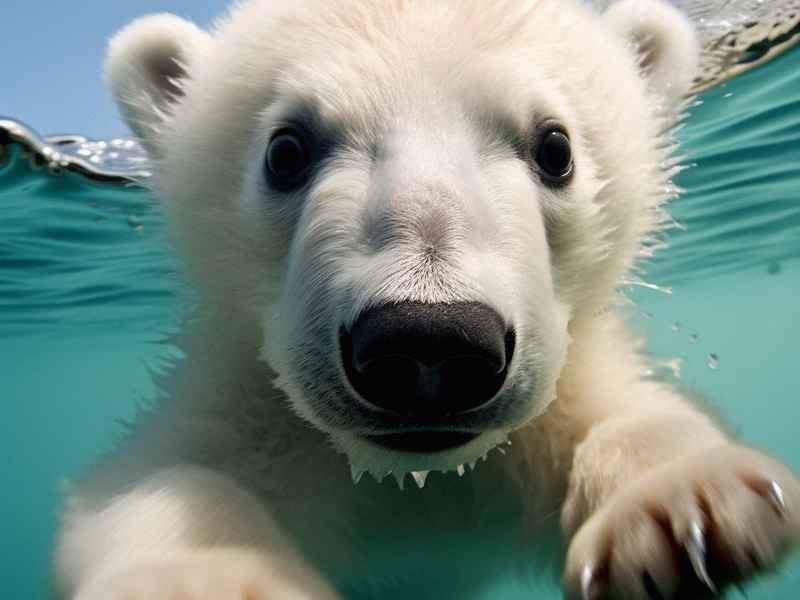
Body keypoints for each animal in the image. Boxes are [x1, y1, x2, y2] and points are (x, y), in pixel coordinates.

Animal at [53, 0, 800, 598]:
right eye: (285, 150)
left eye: (555, 147)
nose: (428, 341)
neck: (414, 480)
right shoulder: (256, 411)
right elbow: (168, 477)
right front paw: (200, 578)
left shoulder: (545, 419)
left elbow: (622, 414)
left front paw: (688, 506)